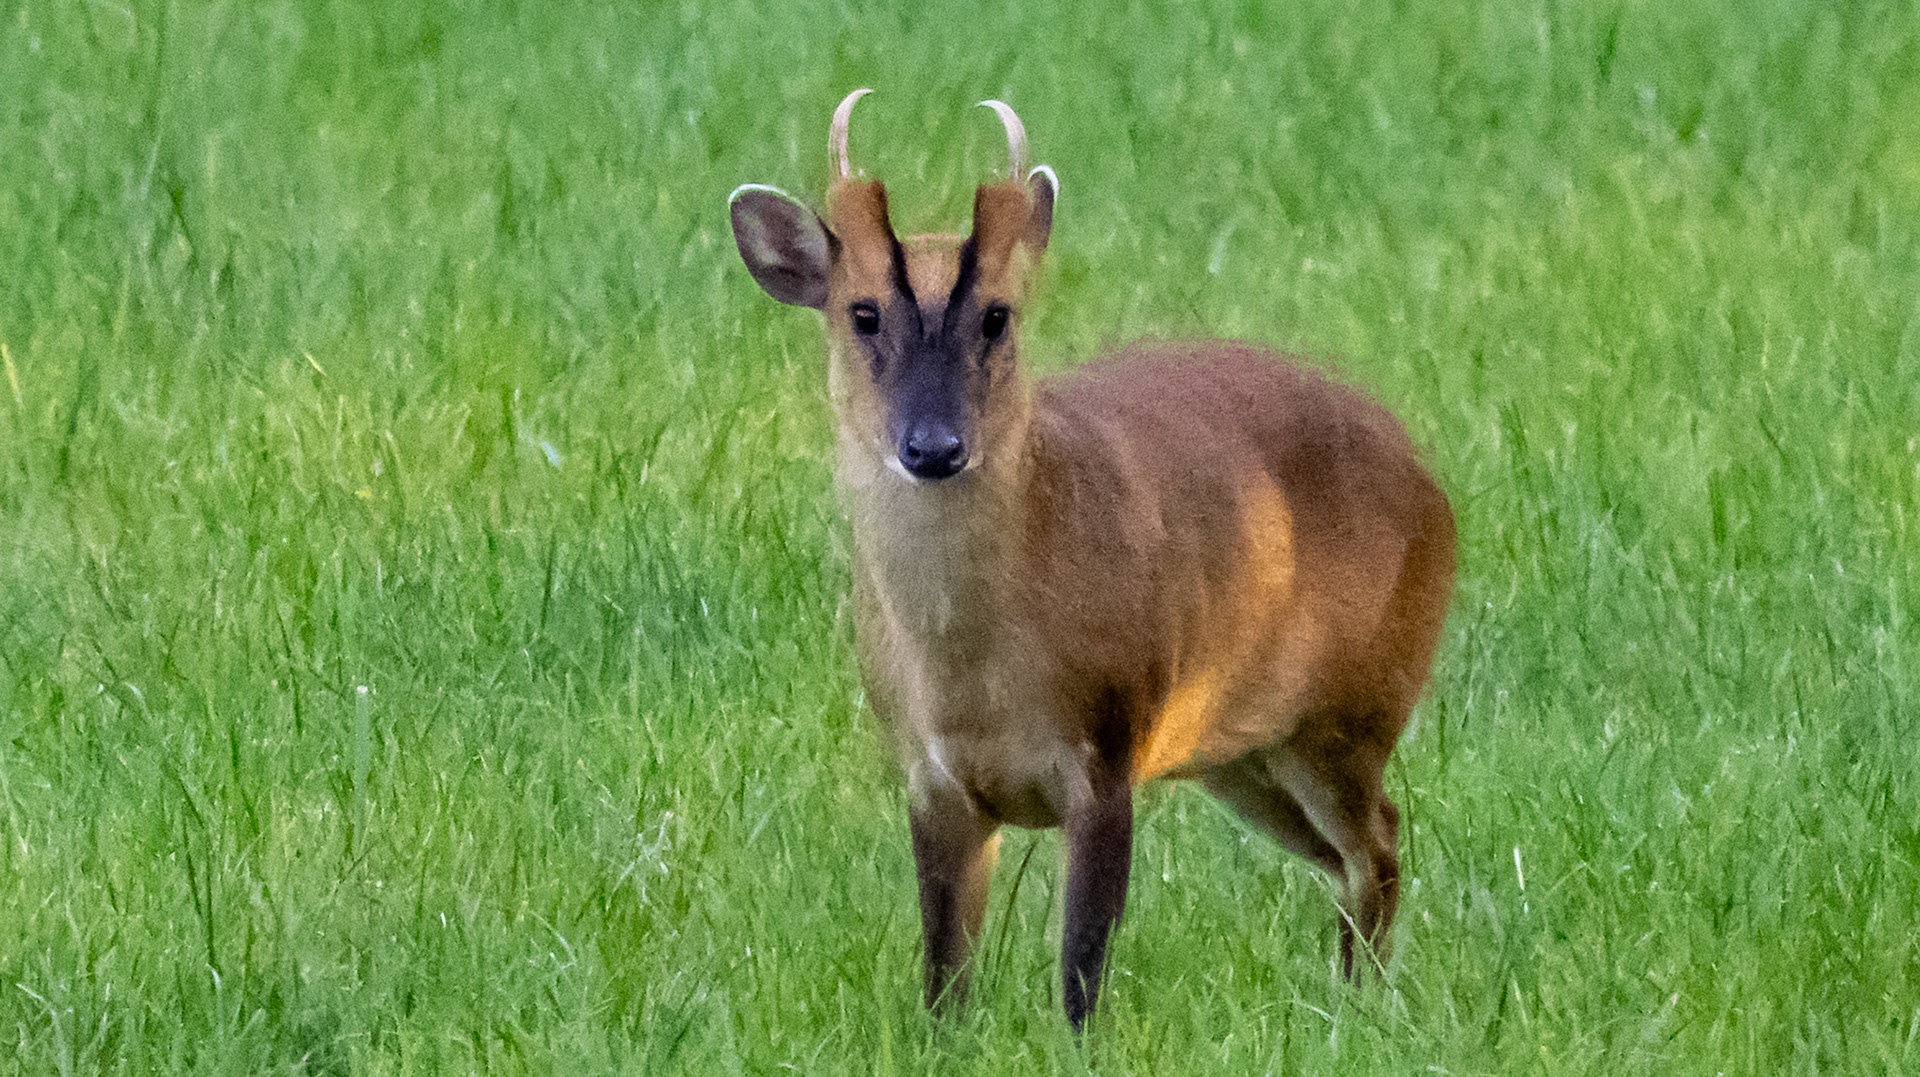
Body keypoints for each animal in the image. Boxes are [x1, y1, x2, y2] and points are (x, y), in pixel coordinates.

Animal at [728, 89, 1456, 1031]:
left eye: (997, 314)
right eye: (863, 313)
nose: (934, 446)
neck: (972, 674)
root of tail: (1433, 487)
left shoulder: (1109, 743)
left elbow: (1081, 967)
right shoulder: (931, 775)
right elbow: (945, 977)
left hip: (1352, 709)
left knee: (1381, 842)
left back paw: (1358, 1008)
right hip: (1245, 753)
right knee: (1347, 854)